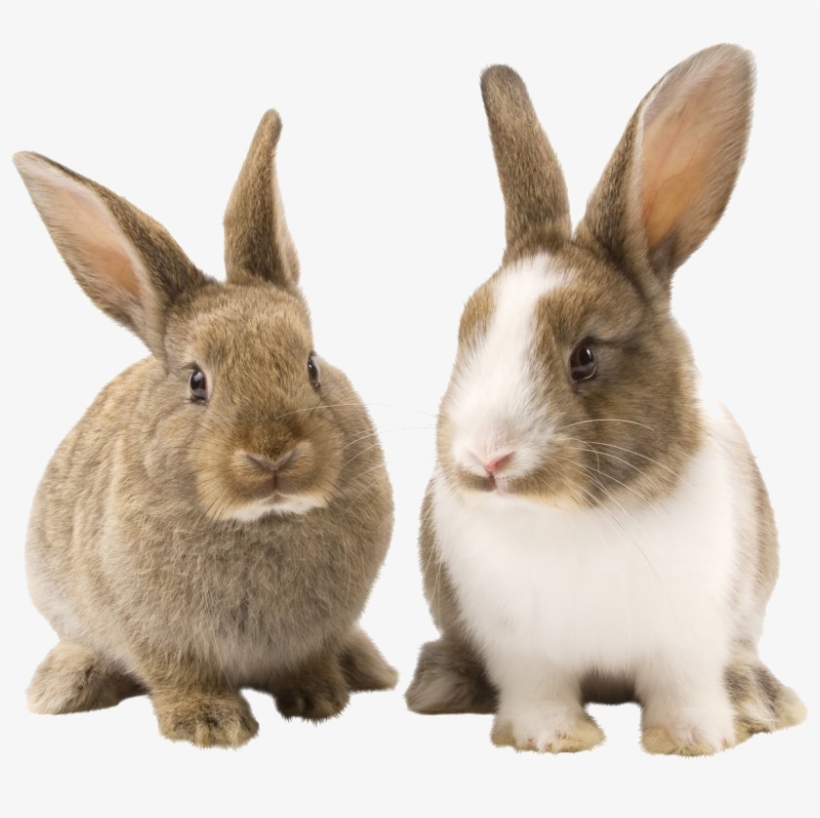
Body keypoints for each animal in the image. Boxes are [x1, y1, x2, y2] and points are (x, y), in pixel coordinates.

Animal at [15, 109, 397, 748]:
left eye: (311, 365)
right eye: (197, 382)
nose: (273, 456)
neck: (263, 520)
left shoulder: (318, 632)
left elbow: (309, 661)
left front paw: (319, 699)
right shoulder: (156, 634)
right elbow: (179, 675)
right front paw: (212, 725)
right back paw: (65, 686)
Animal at [405, 45, 806, 755]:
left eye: (585, 357)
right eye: (465, 333)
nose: (487, 459)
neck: (574, 521)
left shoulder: (689, 638)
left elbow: (684, 687)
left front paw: (695, 739)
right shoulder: (521, 651)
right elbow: (539, 691)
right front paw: (551, 738)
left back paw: (760, 701)